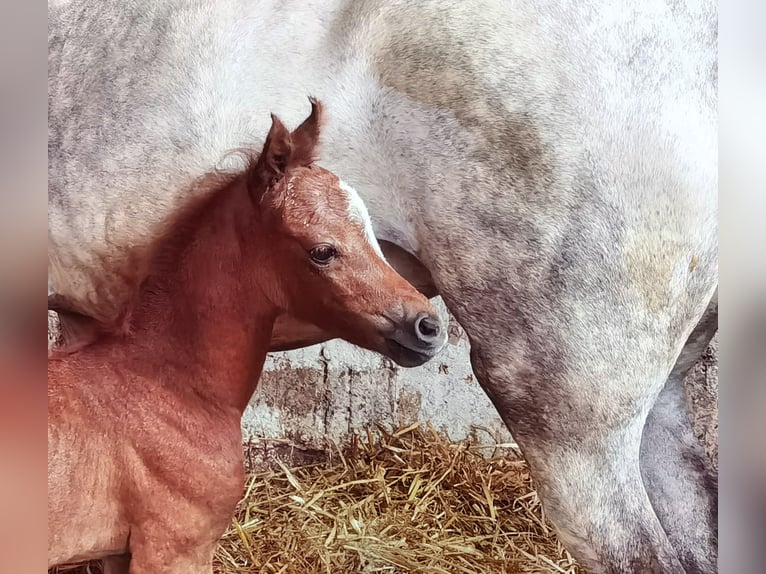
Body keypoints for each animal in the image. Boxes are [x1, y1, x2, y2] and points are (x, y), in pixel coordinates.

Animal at [48, 101, 448, 572]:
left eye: (371, 233)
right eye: (322, 251)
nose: (428, 326)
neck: (165, 384)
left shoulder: (115, 553)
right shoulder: (173, 549)